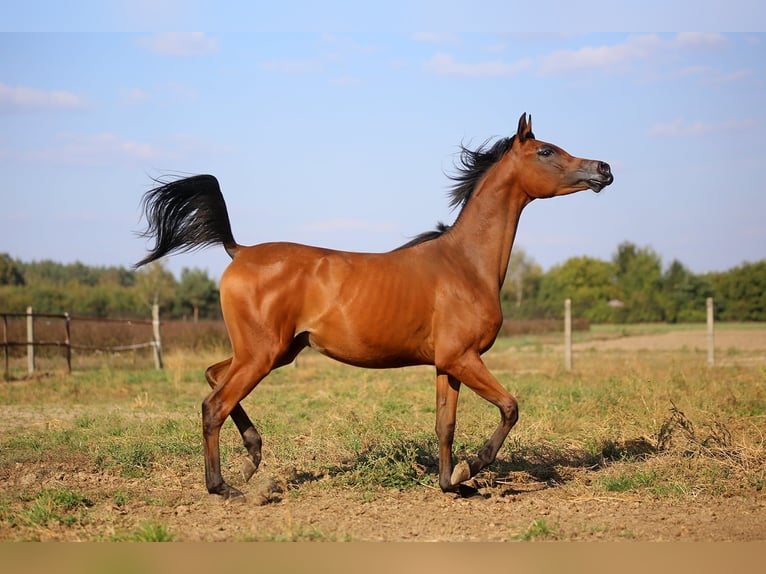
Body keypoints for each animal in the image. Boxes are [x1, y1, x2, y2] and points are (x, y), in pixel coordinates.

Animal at [138, 113, 616, 500]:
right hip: (262, 354)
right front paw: (471, 468)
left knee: (213, 377)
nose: (604, 169)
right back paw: (225, 487)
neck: (465, 264)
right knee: (213, 405)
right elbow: (510, 407)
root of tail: (240, 251)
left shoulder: (448, 364)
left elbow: (445, 426)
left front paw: (451, 483)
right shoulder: (465, 359)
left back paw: (252, 461)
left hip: (272, 352)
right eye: (545, 150)